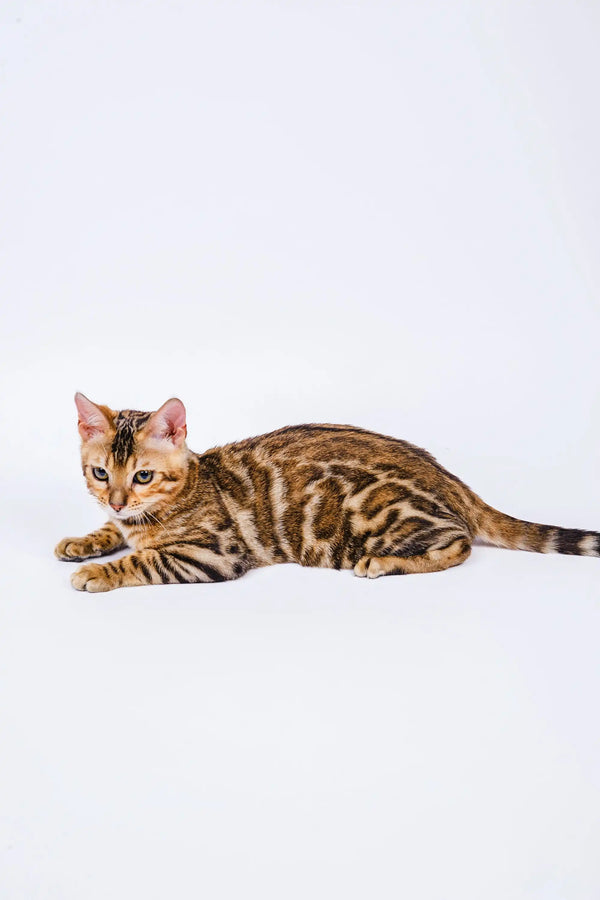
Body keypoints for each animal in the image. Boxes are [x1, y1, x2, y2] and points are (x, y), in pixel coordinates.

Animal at [54, 394, 596, 592]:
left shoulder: (212, 553)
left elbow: (144, 558)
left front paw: (98, 571)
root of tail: (450, 479)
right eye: (101, 473)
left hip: (376, 518)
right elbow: (113, 531)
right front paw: (84, 541)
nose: (118, 499)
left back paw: (384, 564)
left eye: (143, 476)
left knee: (458, 542)